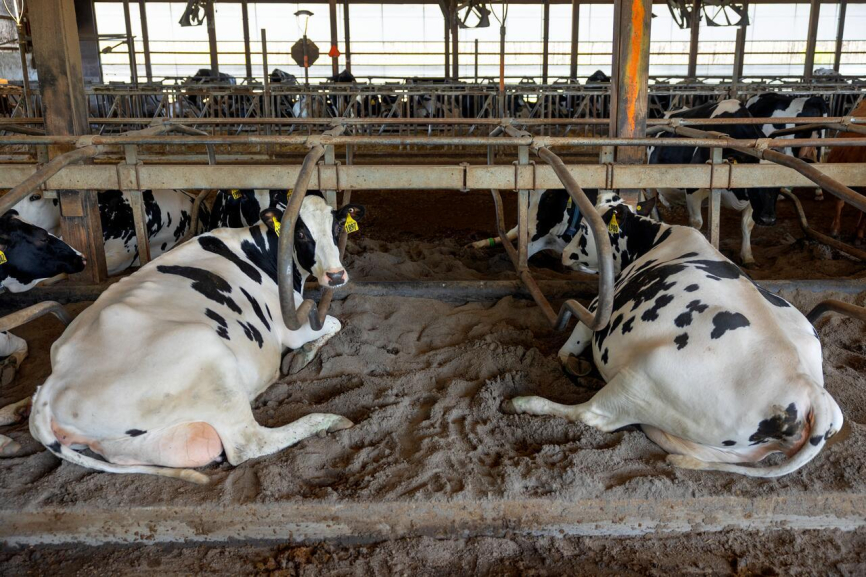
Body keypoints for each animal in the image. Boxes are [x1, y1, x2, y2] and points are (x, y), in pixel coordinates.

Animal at [27, 194, 365, 482]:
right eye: (302, 234)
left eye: (337, 227)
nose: (336, 275)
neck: (262, 250)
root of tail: (53, 383)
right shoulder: (292, 324)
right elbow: (335, 322)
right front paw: (302, 356)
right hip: (211, 356)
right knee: (248, 443)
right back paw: (327, 420)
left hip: (128, 441)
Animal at [505, 195, 843, 478]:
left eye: (586, 230)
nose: (565, 254)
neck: (654, 240)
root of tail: (810, 390)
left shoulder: (598, 306)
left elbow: (572, 341)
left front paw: (570, 363)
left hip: (641, 377)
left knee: (592, 414)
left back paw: (524, 402)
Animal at [649, 100, 780, 266]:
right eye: (753, 183)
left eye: (779, 184)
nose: (768, 220)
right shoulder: (694, 187)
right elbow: (697, 222)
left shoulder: (754, 203)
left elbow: (747, 224)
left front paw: (747, 256)